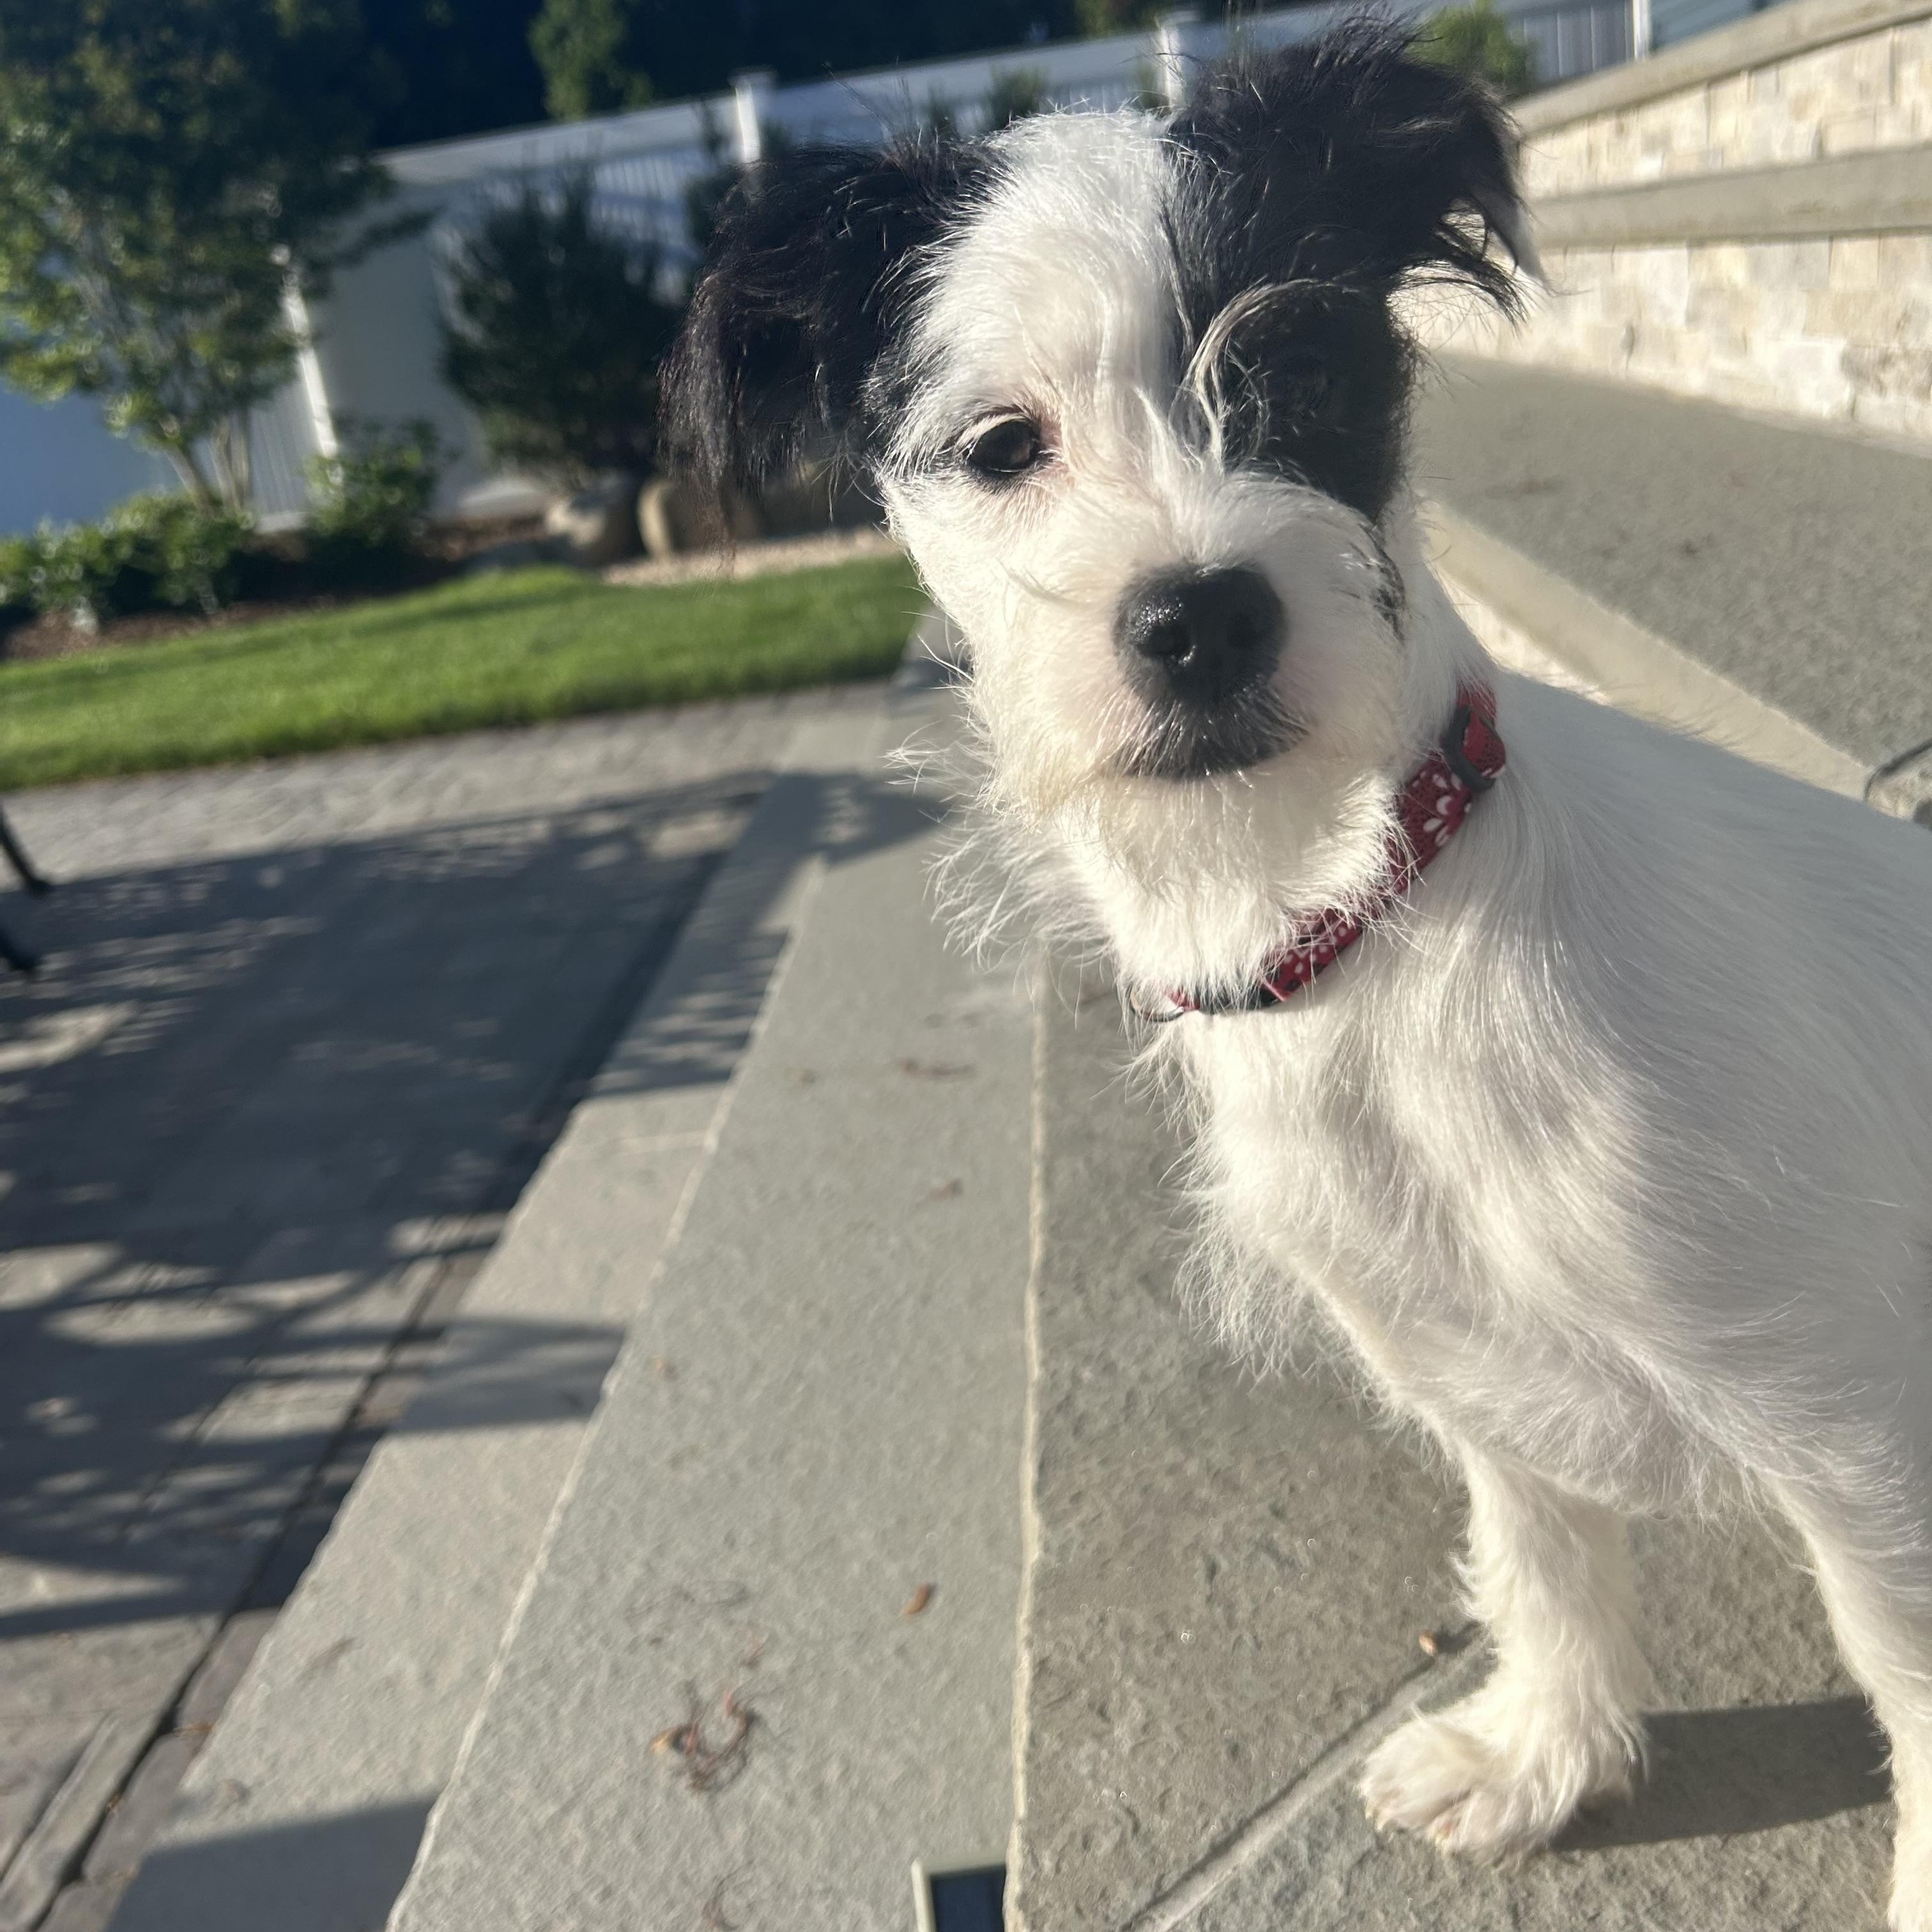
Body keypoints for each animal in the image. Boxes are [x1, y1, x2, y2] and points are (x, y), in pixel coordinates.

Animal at [663, 22, 1932, 1925]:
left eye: (1297, 368)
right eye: (1001, 444)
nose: (1200, 616)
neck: (1377, 922)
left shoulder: (1858, 1420)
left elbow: (1911, 1682)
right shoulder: (1467, 1351)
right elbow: (1541, 1554)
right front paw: (1543, 1755)